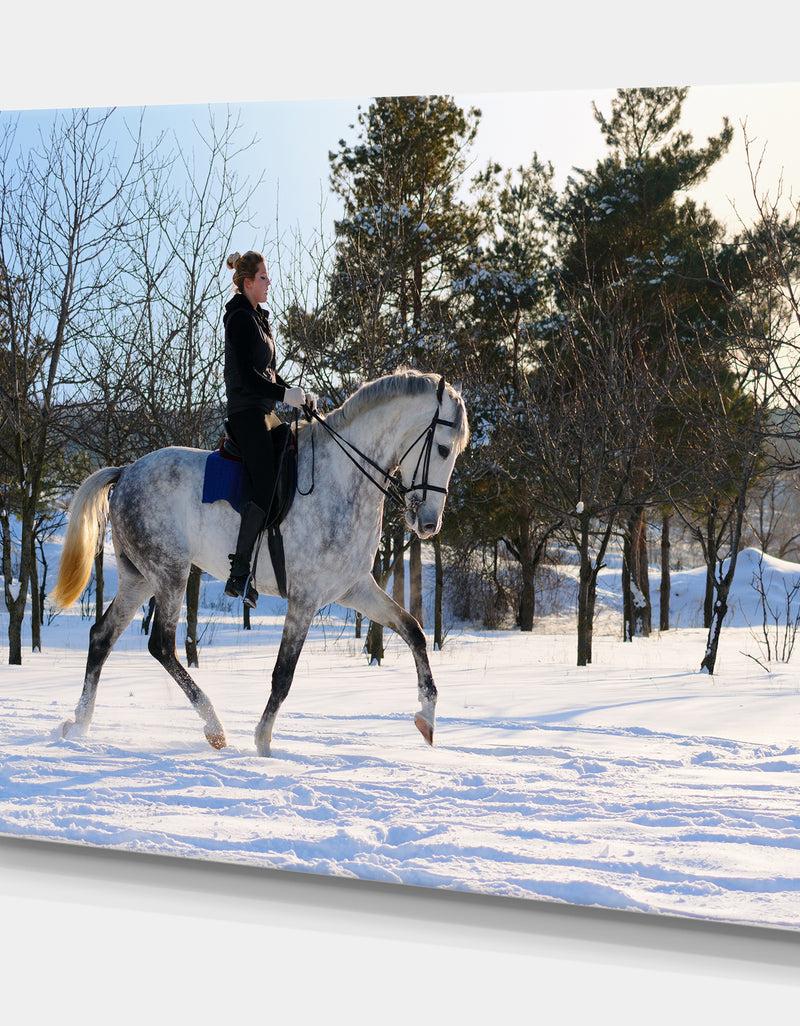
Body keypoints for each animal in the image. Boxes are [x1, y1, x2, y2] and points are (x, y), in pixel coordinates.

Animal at [51, 369, 470, 756]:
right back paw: (214, 728)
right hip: (169, 573)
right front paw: (264, 742)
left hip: (139, 578)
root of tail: (125, 472)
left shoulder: (354, 588)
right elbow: (283, 674)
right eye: (443, 449)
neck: (343, 478)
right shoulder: (305, 599)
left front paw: (427, 718)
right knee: (161, 646)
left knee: (102, 636)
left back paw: (79, 723)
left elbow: (413, 629)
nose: (429, 525)